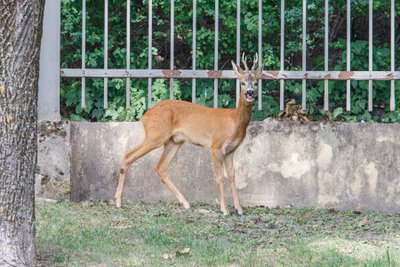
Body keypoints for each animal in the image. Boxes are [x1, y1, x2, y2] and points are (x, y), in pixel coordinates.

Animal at [115, 54, 264, 216]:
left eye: (256, 83)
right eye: (242, 83)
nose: (250, 93)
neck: (234, 121)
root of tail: (145, 116)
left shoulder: (231, 150)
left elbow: (232, 176)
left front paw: (239, 209)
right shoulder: (216, 146)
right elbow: (220, 177)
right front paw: (224, 209)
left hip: (174, 141)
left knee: (160, 167)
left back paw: (185, 203)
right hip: (156, 134)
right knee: (128, 156)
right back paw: (118, 202)